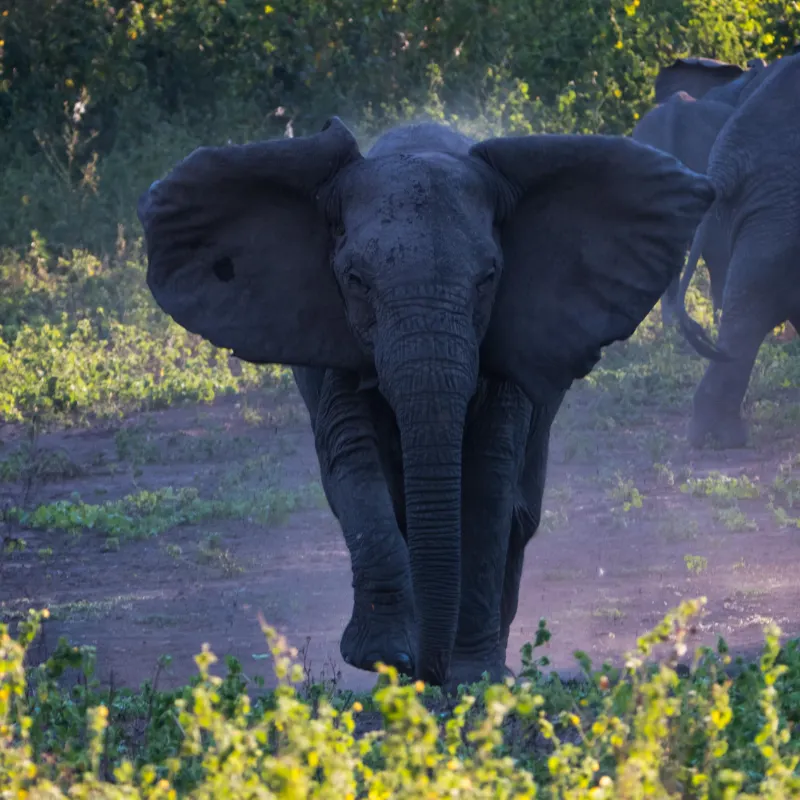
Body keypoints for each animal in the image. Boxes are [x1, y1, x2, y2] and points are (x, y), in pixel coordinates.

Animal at [137, 117, 713, 687]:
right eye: (355, 280)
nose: (427, 671)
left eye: (488, 278)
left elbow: (487, 478)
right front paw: (384, 656)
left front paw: (472, 678)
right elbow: (354, 461)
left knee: (519, 516)